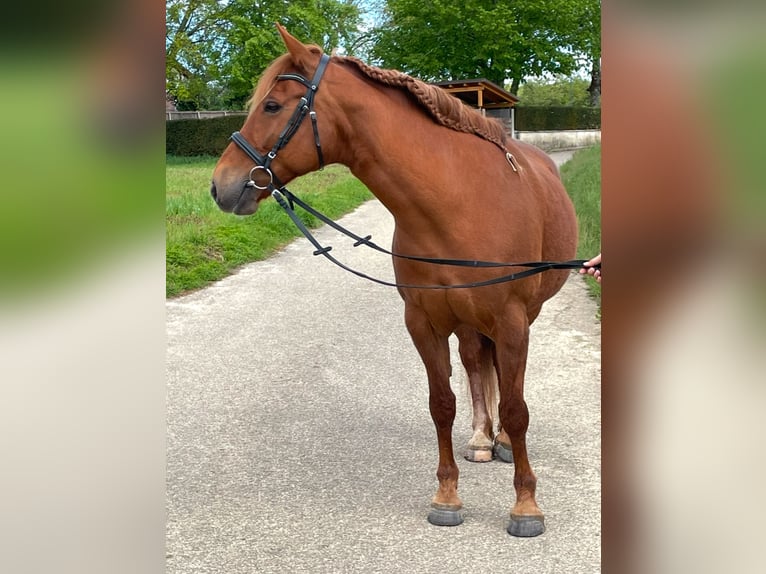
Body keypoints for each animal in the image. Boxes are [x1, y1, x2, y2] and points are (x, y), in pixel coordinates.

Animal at [210, 24, 576, 540]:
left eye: (273, 106)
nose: (220, 186)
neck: (457, 203)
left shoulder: (511, 321)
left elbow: (517, 409)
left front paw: (526, 506)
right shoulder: (423, 321)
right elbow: (441, 404)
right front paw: (447, 496)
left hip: (524, 315)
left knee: (503, 381)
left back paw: (500, 441)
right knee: (475, 363)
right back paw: (482, 439)